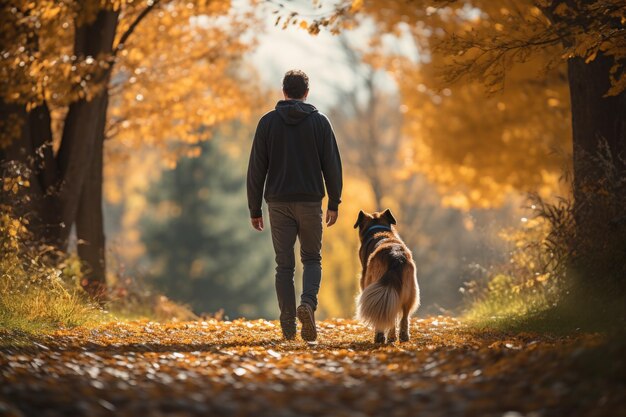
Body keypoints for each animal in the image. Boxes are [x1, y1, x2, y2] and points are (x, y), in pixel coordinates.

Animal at [352, 208, 420, 342]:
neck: (379, 230)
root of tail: (395, 256)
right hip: (408, 292)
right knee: (403, 316)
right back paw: (402, 336)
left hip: (374, 285)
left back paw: (380, 336)